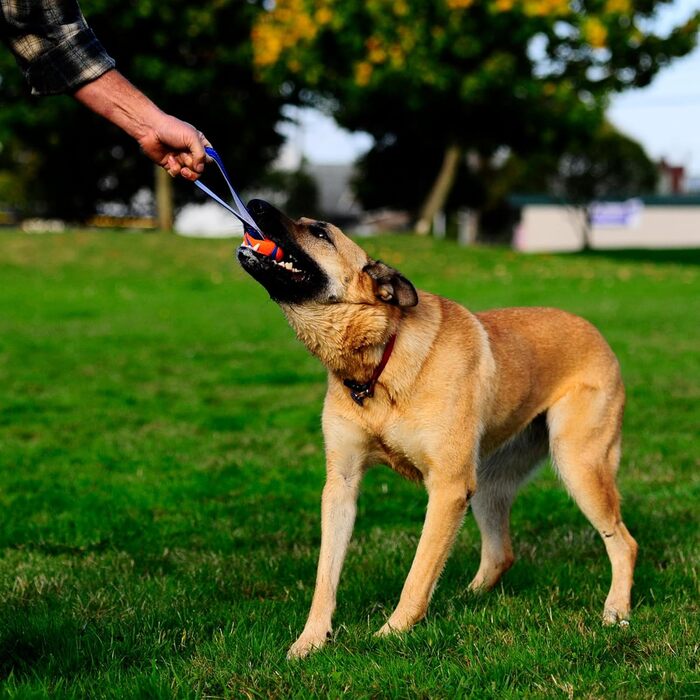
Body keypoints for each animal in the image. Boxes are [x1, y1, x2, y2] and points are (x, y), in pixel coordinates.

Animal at [238, 200, 636, 660]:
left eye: (321, 233)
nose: (255, 205)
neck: (380, 362)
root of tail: (597, 334)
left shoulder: (447, 487)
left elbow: (418, 572)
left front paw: (391, 633)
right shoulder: (341, 484)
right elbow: (326, 576)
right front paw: (311, 640)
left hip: (578, 465)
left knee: (623, 543)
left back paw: (616, 610)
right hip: (489, 483)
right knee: (501, 553)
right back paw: (468, 597)